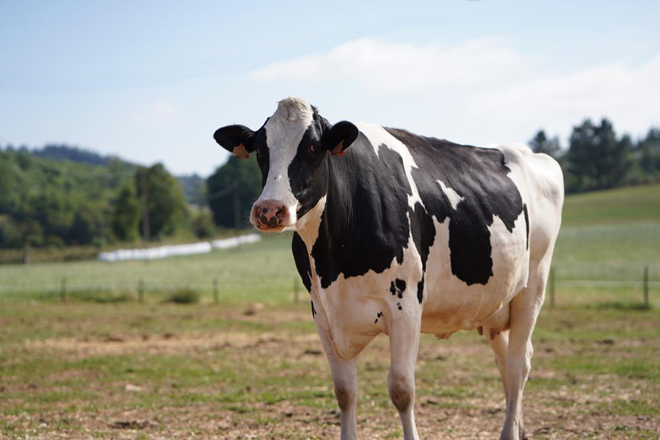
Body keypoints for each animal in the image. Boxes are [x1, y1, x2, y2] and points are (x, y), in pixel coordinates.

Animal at [213, 97, 564, 440]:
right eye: (261, 149)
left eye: (312, 147)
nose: (269, 210)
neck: (335, 260)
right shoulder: (323, 312)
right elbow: (344, 392)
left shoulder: (405, 306)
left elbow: (401, 389)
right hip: (495, 303)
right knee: (505, 363)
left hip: (533, 286)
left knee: (519, 363)